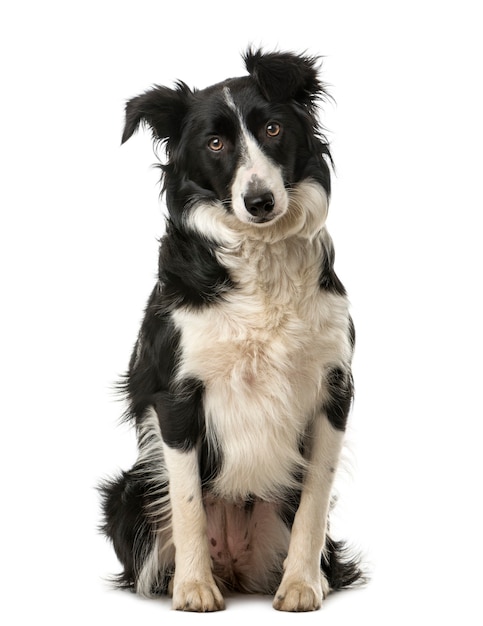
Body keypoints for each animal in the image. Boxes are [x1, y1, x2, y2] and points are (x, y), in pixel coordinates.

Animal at [101, 47, 364, 608]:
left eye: (272, 129)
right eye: (215, 143)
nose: (259, 201)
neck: (261, 259)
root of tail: (237, 568)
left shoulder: (334, 389)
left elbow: (314, 502)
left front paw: (301, 585)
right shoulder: (176, 396)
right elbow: (187, 505)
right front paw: (194, 588)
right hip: (128, 492)